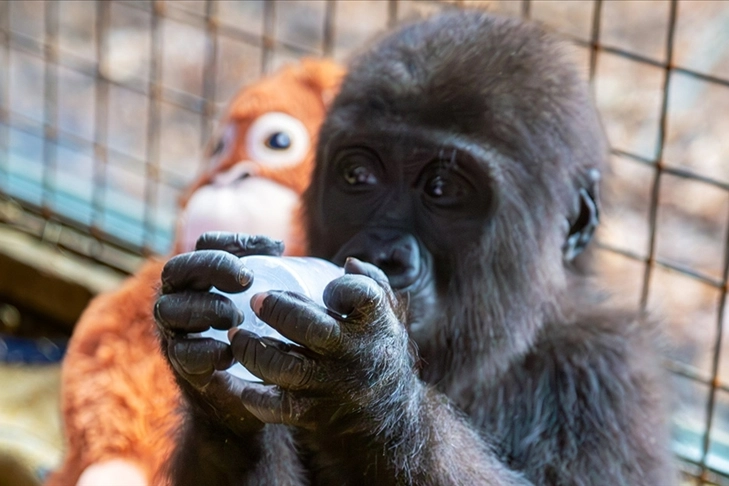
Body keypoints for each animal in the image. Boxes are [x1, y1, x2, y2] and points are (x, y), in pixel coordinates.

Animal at [156, 8, 672, 486]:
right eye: (358, 176)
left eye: (442, 189)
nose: (383, 254)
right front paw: (215, 399)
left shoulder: (608, 375)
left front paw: (368, 390)